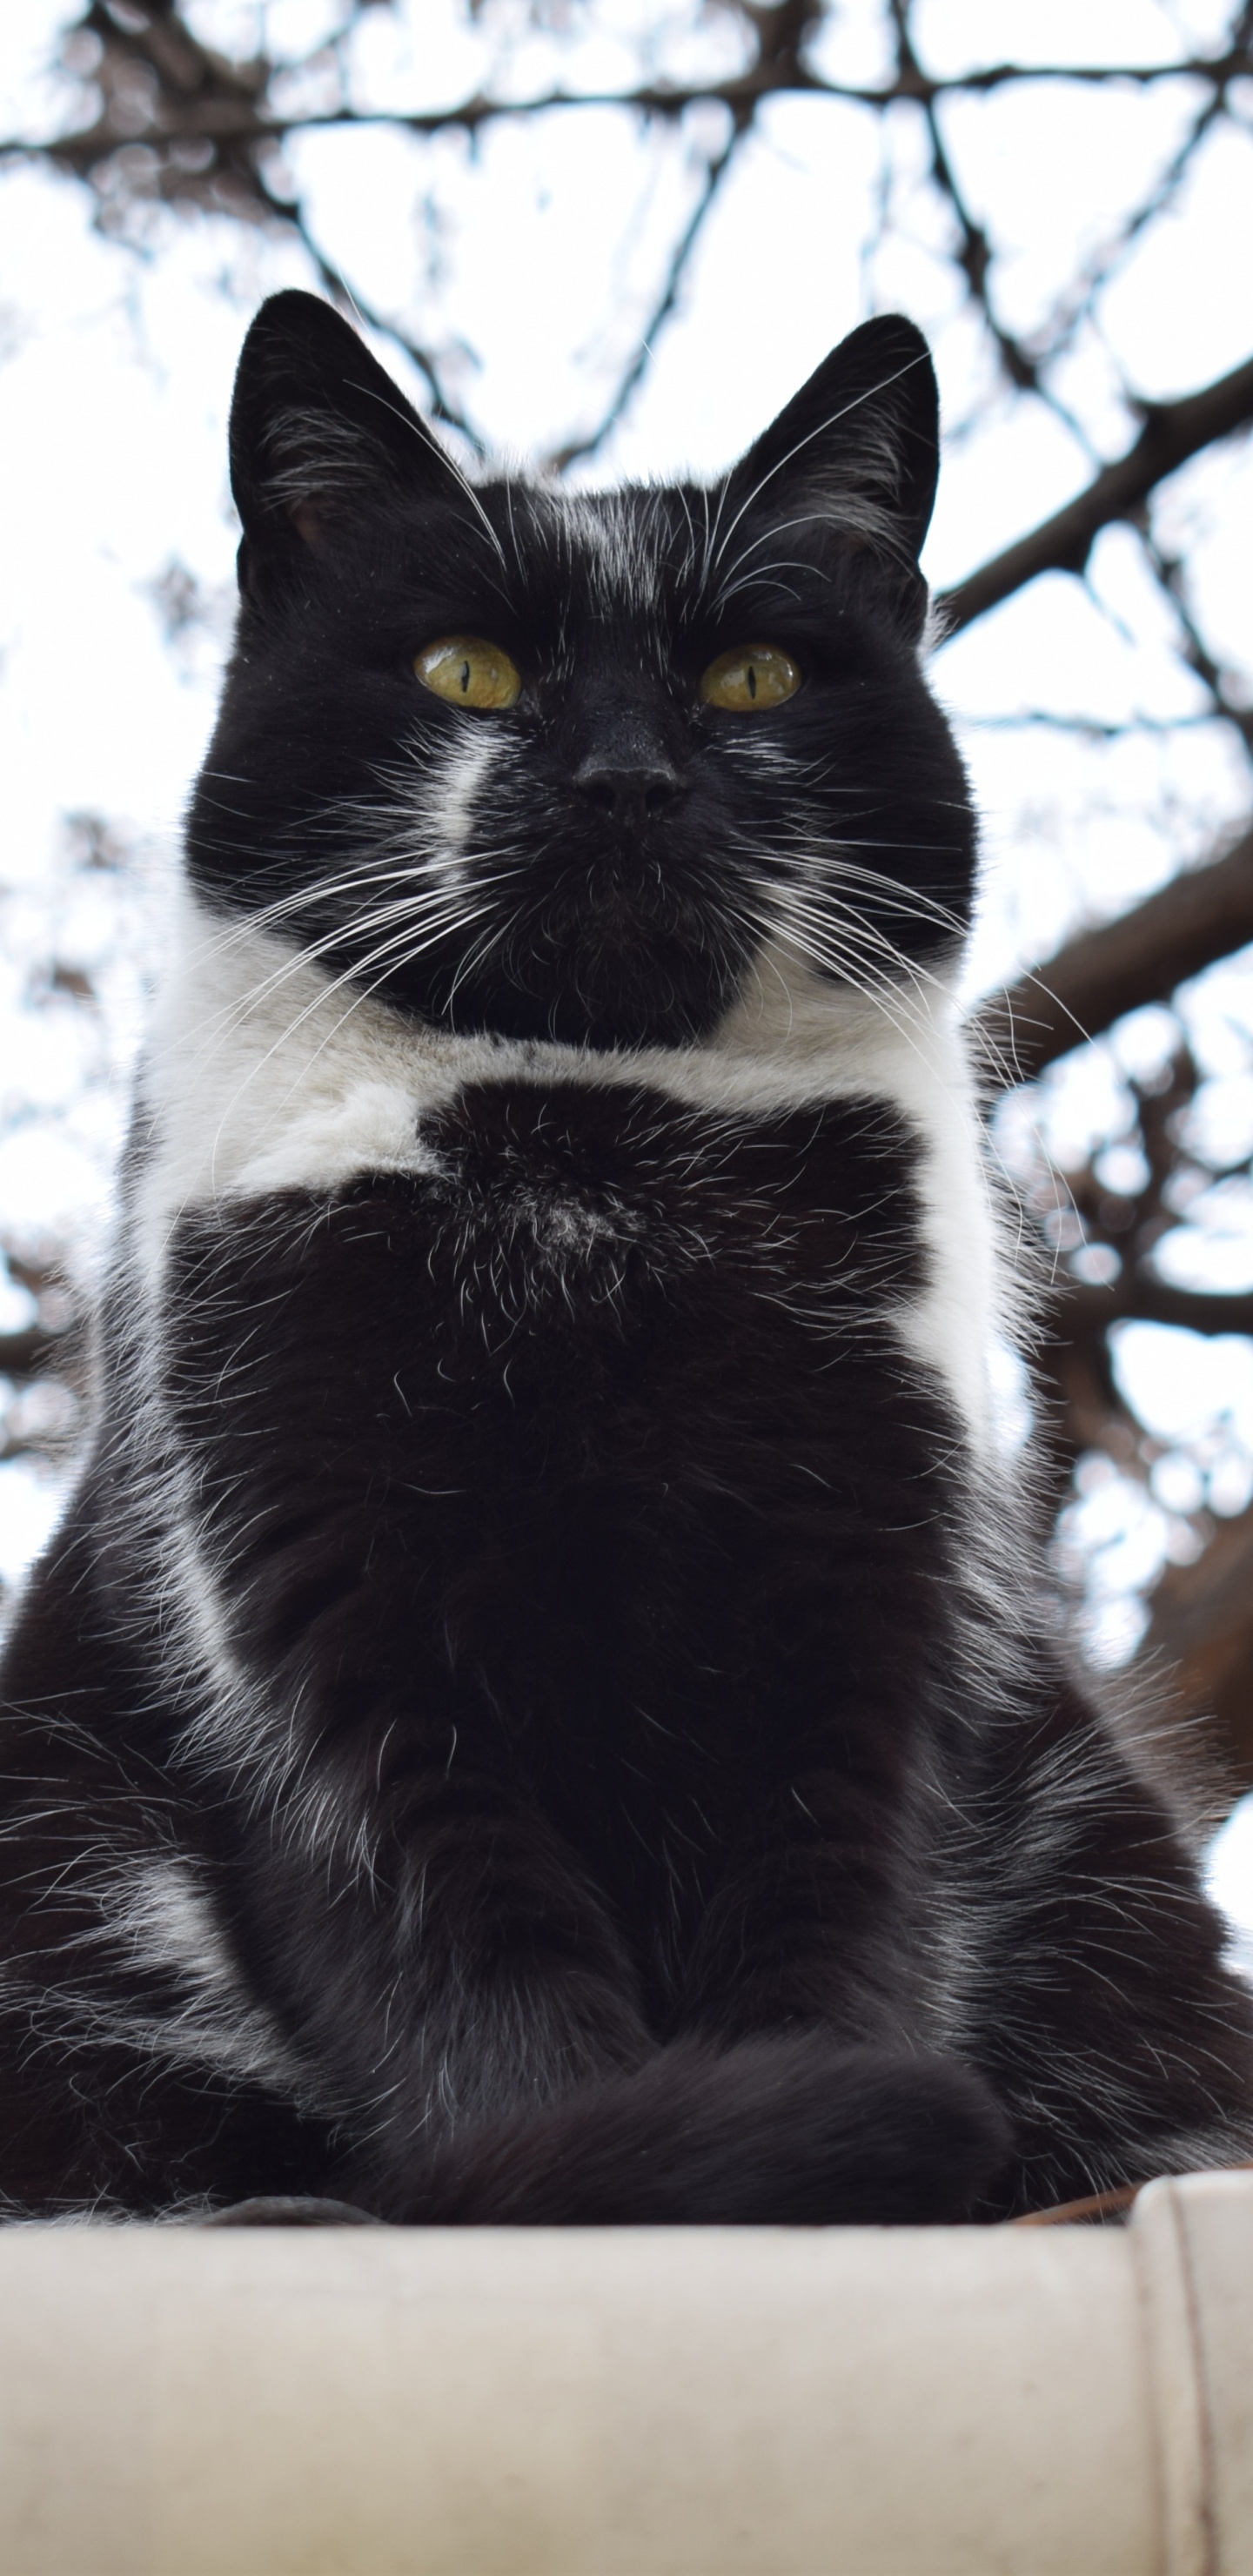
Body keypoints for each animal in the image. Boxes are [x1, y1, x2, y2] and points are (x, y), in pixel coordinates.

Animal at [2, 287, 1253, 2236]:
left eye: (750, 679)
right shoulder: (306, 1587)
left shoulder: (872, 1585)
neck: (589, 1154)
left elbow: (830, 1910)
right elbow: (465, 1962)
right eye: (466, 673)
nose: (624, 777)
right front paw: (638, 2159)